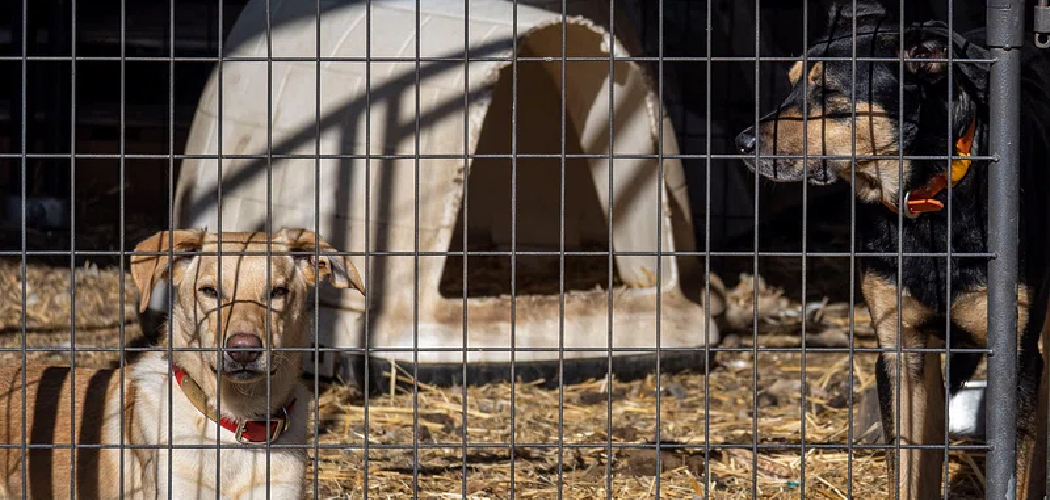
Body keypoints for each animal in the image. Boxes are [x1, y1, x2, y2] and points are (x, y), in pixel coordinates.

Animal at [734, 1, 1050, 497]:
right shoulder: (901, 355)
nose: (742, 143)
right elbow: (905, 468)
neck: (927, 200)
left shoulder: (1017, 360)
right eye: (792, 84)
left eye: (827, 91)